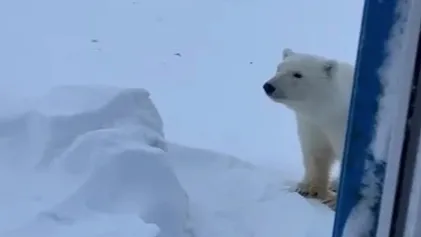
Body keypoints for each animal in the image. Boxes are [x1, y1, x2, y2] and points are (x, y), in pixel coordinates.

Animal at [262, 47, 354, 209]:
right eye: (279, 68)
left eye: (298, 74)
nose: (269, 86)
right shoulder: (312, 124)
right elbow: (315, 152)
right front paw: (306, 188)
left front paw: (333, 202)